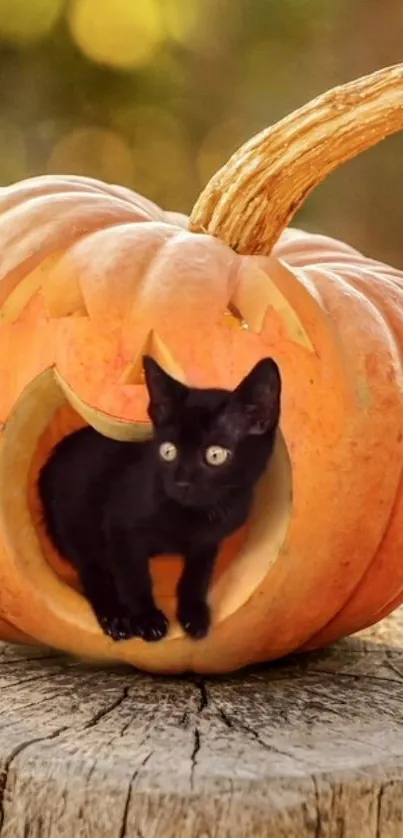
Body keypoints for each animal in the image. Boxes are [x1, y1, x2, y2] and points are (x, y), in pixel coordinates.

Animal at [39, 356, 282, 644]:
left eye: (216, 455)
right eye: (168, 451)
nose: (181, 482)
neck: (196, 515)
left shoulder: (209, 541)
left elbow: (198, 574)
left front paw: (193, 613)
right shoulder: (121, 528)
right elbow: (134, 576)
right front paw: (146, 618)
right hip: (74, 522)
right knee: (92, 572)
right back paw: (115, 616)